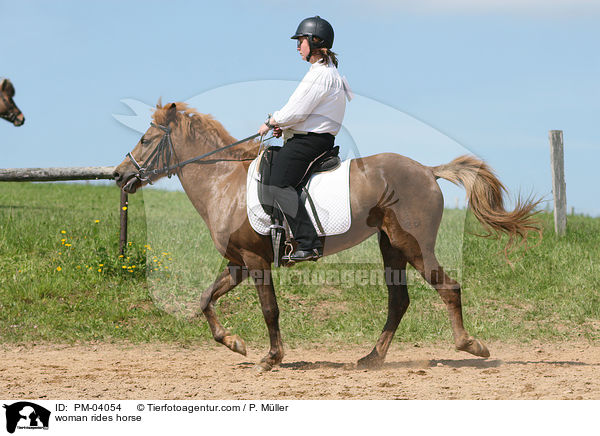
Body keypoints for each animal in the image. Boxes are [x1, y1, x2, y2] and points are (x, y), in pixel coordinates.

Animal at [111, 102, 540, 372]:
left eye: (146, 140)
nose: (119, 175)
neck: (223, 182)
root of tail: (427, 170)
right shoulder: (238, 263)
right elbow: (205, 300)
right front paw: (233, 342)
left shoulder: (256, 261)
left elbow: (269, 310)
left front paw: (271, 358)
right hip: (391, 247)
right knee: (399, 301)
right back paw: (372, 358)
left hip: (414, 246)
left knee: (447, 288)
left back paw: (471, 346)